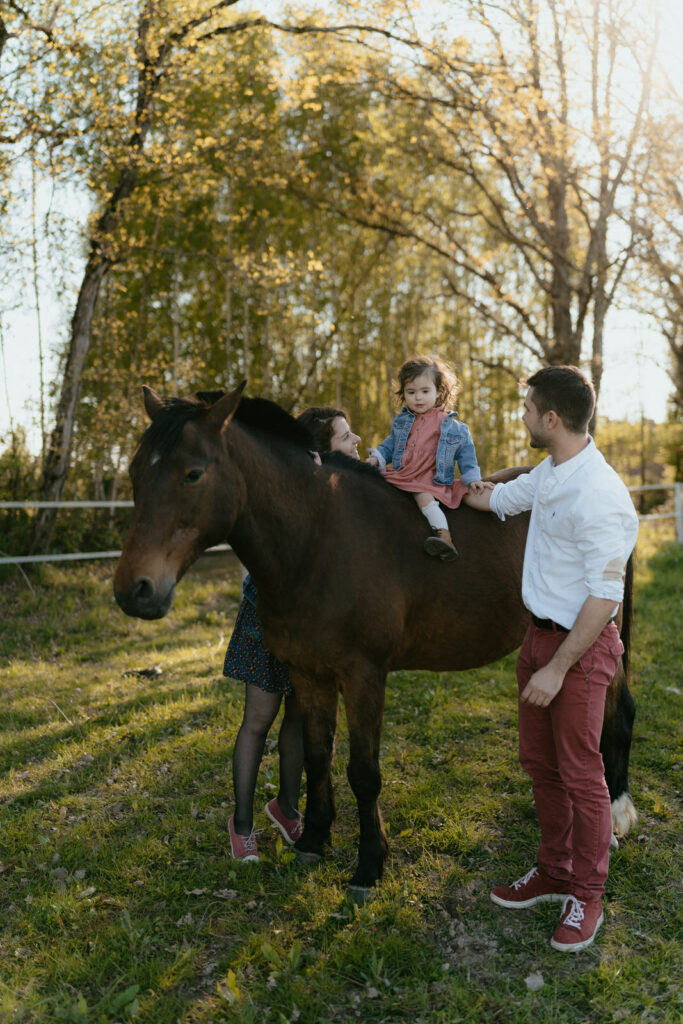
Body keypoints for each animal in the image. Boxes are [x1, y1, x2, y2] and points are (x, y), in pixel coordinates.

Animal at [114, 385, 638, 897]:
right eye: (136, 472)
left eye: (193, 473)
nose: (134, 590)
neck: (317, 540)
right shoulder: (308, 673)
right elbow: (316, 757)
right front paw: (313, 840)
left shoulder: (363, 675)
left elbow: (363, 773)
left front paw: (369, 865)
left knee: (618, 713)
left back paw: (615, 813)